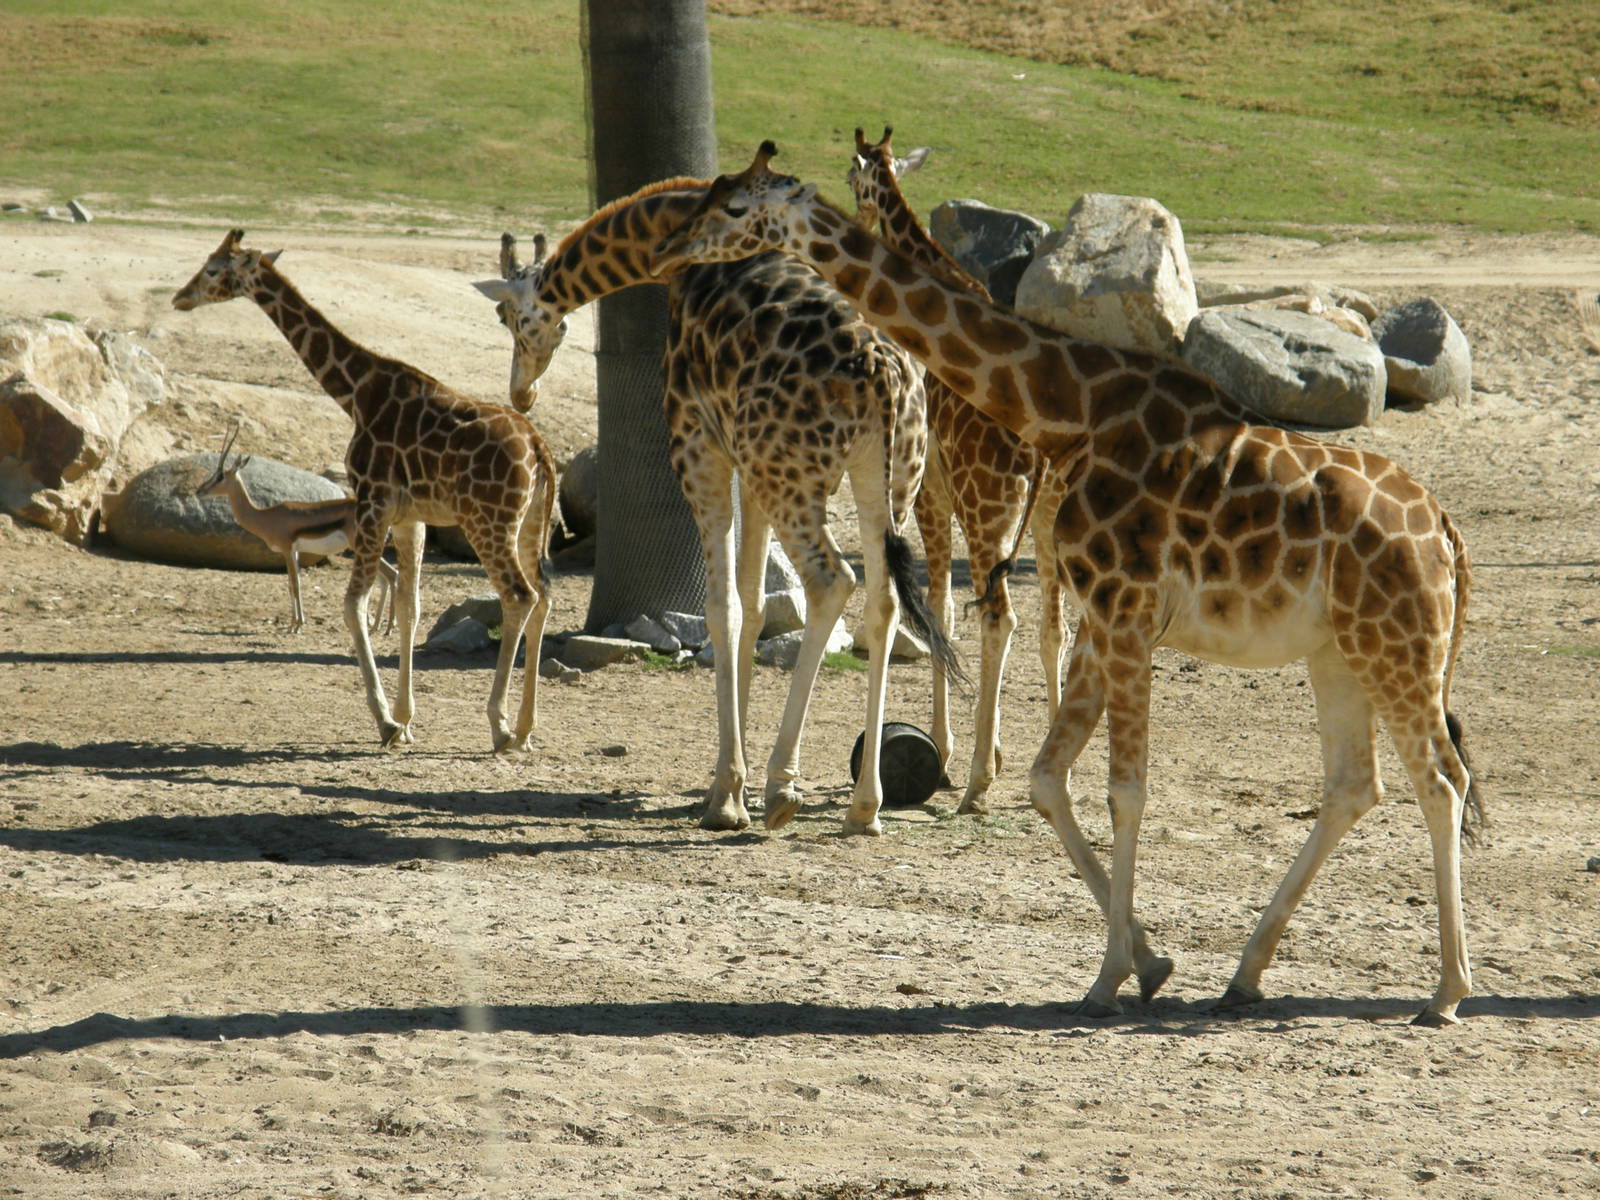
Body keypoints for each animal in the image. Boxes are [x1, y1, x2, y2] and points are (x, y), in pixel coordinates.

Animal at [173, 230, 557, 754]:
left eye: (213, 269)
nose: (180, 297)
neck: (355, 392)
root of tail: (540, 450)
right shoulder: (411, 517)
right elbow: (410, 608)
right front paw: (406, 718)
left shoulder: (373, 500)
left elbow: (352, 603)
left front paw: (386, 722)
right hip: (531, 523)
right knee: (544, 596)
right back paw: (526, 728)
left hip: (489, 520)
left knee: (518, 596)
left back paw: (499, 726)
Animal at [473, 182, 960, 836]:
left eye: (507, 317)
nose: (521, 392)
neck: (675, 241)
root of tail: (883, 370)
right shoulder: (748, 469)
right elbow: (753, 607)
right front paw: (727, 780)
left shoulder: (702, 447)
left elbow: (722, 607)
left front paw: (729, 794)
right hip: (887, 479)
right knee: (882, 602)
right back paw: (865, 805)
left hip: (793, 474)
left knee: (833, 580)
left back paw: (783, 787)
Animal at [847, 126, 1070, 814]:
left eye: (849, 176)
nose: (859, 223)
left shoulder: (930, 494)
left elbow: (941, 610)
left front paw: (945, 754)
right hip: (1049, 512)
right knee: (1055, 625)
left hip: (987, 501)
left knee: (1002, 616)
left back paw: (975, 783)